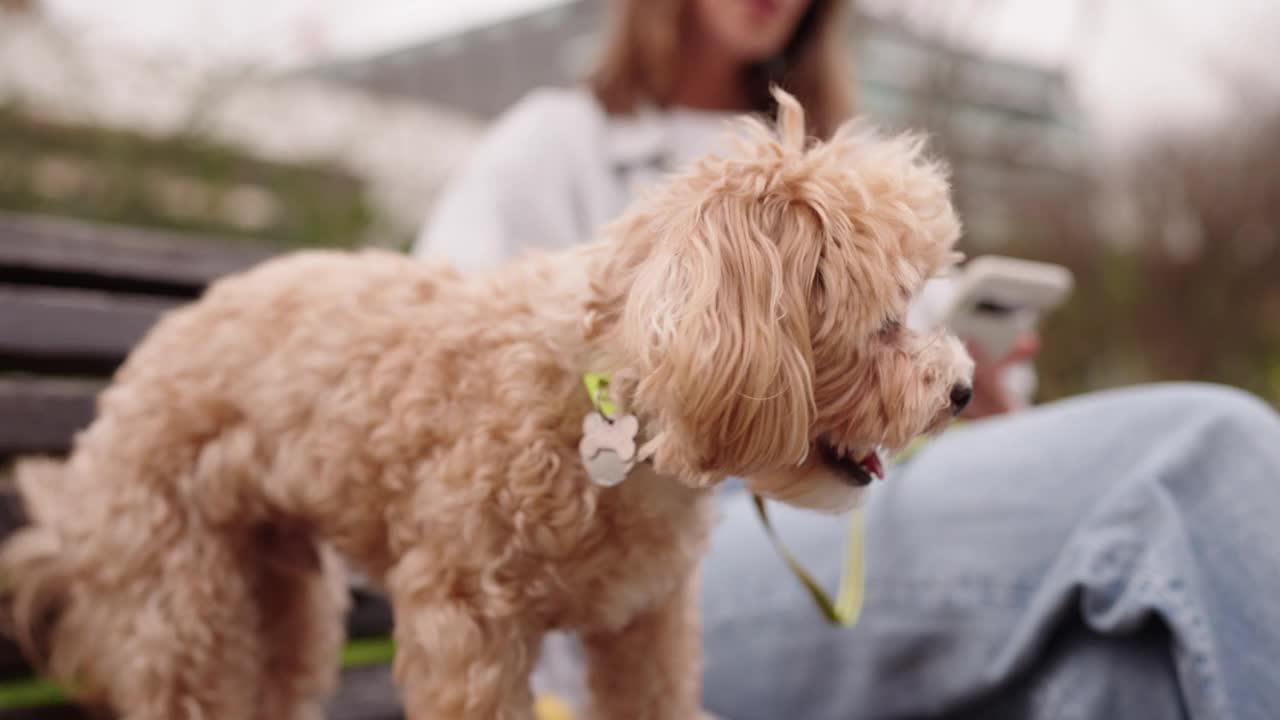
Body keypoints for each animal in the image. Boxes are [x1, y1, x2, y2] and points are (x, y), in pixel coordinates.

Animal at [2, 90, 967, 717]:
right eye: (887, 317)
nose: (960, 388)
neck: (613, 417)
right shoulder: (467, 624)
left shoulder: (646, 625)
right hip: (183, 602)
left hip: (283, 595)